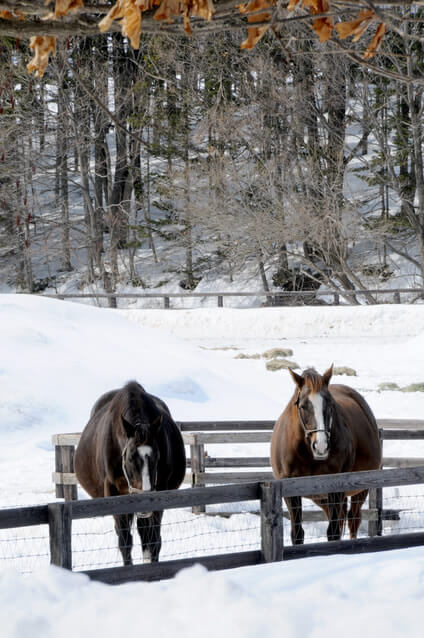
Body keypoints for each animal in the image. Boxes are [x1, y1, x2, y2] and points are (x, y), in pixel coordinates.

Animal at [74, 380, 186, 564]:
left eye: (157, 456)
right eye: (131, 457)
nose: (145, 500)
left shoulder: (160, 492)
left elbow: (153, 541)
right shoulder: (113, 493)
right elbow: (125, 542)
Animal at [272, 368, 384, 548]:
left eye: (330, 405)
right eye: (303, 406)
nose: (321, 446)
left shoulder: (336, 488)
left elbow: (333, 532)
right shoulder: (291, 491)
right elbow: (297, 534)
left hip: (360, 489)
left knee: (353, 520)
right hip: (322, 498)